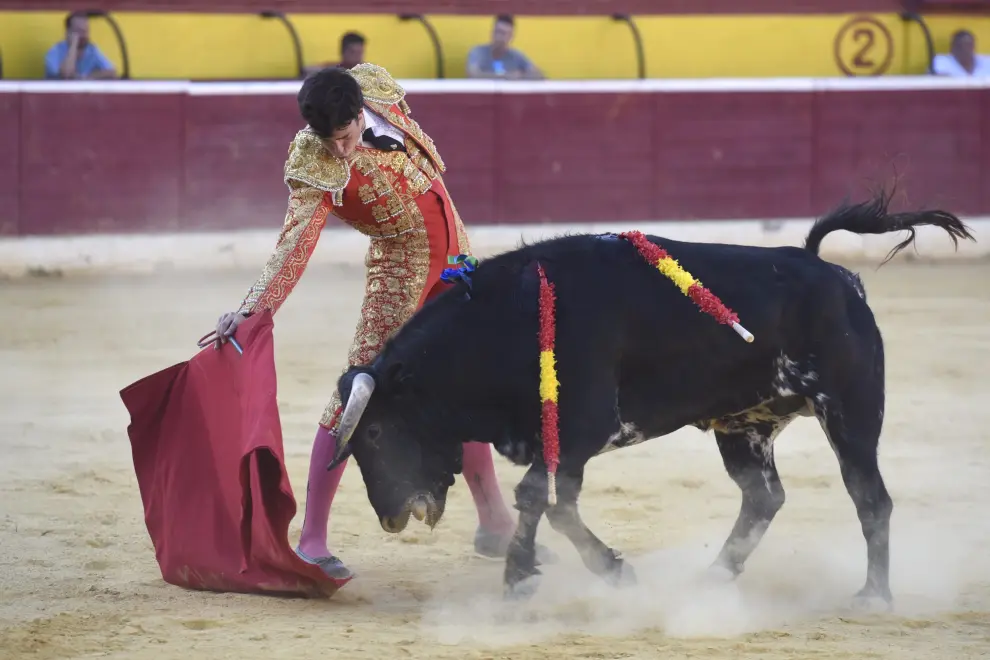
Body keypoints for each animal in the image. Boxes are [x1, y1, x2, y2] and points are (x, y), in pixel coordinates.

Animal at [328, 193, 976, 604]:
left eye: (376, 432)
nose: (390, 516)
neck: (511, 321)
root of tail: (830, 272)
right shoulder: (560, 442)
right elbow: (554, 504)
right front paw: (567, 573)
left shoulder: (582, 428)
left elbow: (540, 498)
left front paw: (529, 577)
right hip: (743, 426)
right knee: (764, 497)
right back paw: (712, 578)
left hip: (849, 410)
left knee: (871, 499)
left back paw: (874, 595)